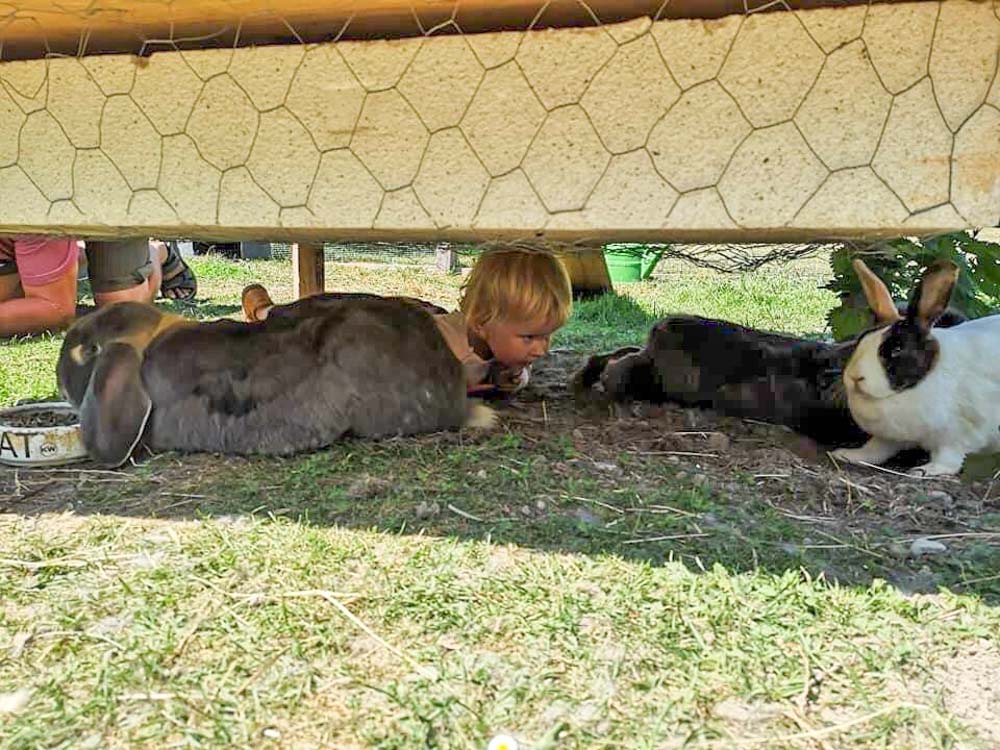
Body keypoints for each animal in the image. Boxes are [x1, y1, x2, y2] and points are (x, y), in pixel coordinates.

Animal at [832, 262, 996, 478]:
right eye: (861, 340)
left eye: (897, 349)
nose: (854, 377)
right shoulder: (888, 437)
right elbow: (874, 450)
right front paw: (846, 454)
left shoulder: (956, 436)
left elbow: (948, 460)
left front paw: (924, 470)